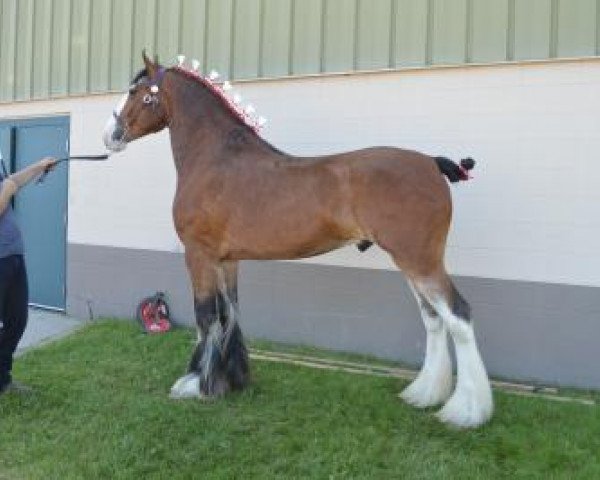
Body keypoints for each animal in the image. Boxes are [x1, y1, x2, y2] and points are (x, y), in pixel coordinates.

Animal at [103, 52, 494, 428]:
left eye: (137, 92)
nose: (111, 135)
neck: (216, 158)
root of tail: (431, 163)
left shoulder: (199, 255)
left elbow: (207, 316)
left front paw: (196, 384)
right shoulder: (227, 260)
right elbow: (230, 313)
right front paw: (233, 380)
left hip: (420, 260)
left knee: (458, 316)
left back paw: (466, 411)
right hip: (412, 263)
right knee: (434, 319)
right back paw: (425, 394)